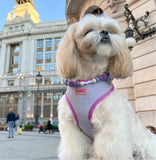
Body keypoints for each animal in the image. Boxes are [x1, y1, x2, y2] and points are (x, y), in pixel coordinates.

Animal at [56, 14, 156, 159]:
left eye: (110, 30)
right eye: (88, 31)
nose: (104, 32)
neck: (89, 82)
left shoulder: (112, 129)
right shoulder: (72, 129)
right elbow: (74, 151)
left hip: (144, 147)